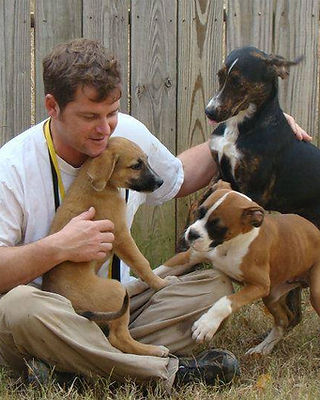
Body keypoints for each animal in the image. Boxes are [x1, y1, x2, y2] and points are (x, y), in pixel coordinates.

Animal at [42, 137, 170, 356]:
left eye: (147, 160)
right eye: (136, 165)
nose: (160, 181)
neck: (99, 186)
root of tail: (71, 307)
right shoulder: (121, 236)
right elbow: (142, 263)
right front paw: (161, 283)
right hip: (115, 292)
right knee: (119, 338)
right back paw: (154, 350)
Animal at [161, 181, 320, 354]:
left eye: (218, 226)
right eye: (200, 212)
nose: (192, 234)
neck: (229, 245)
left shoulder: (259, 286)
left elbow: (225, 301)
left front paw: (206, 325)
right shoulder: (188, 258)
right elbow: (159, 270)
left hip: (314, 294)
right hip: (272, 295)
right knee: (283, 320)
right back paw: (261, 349)